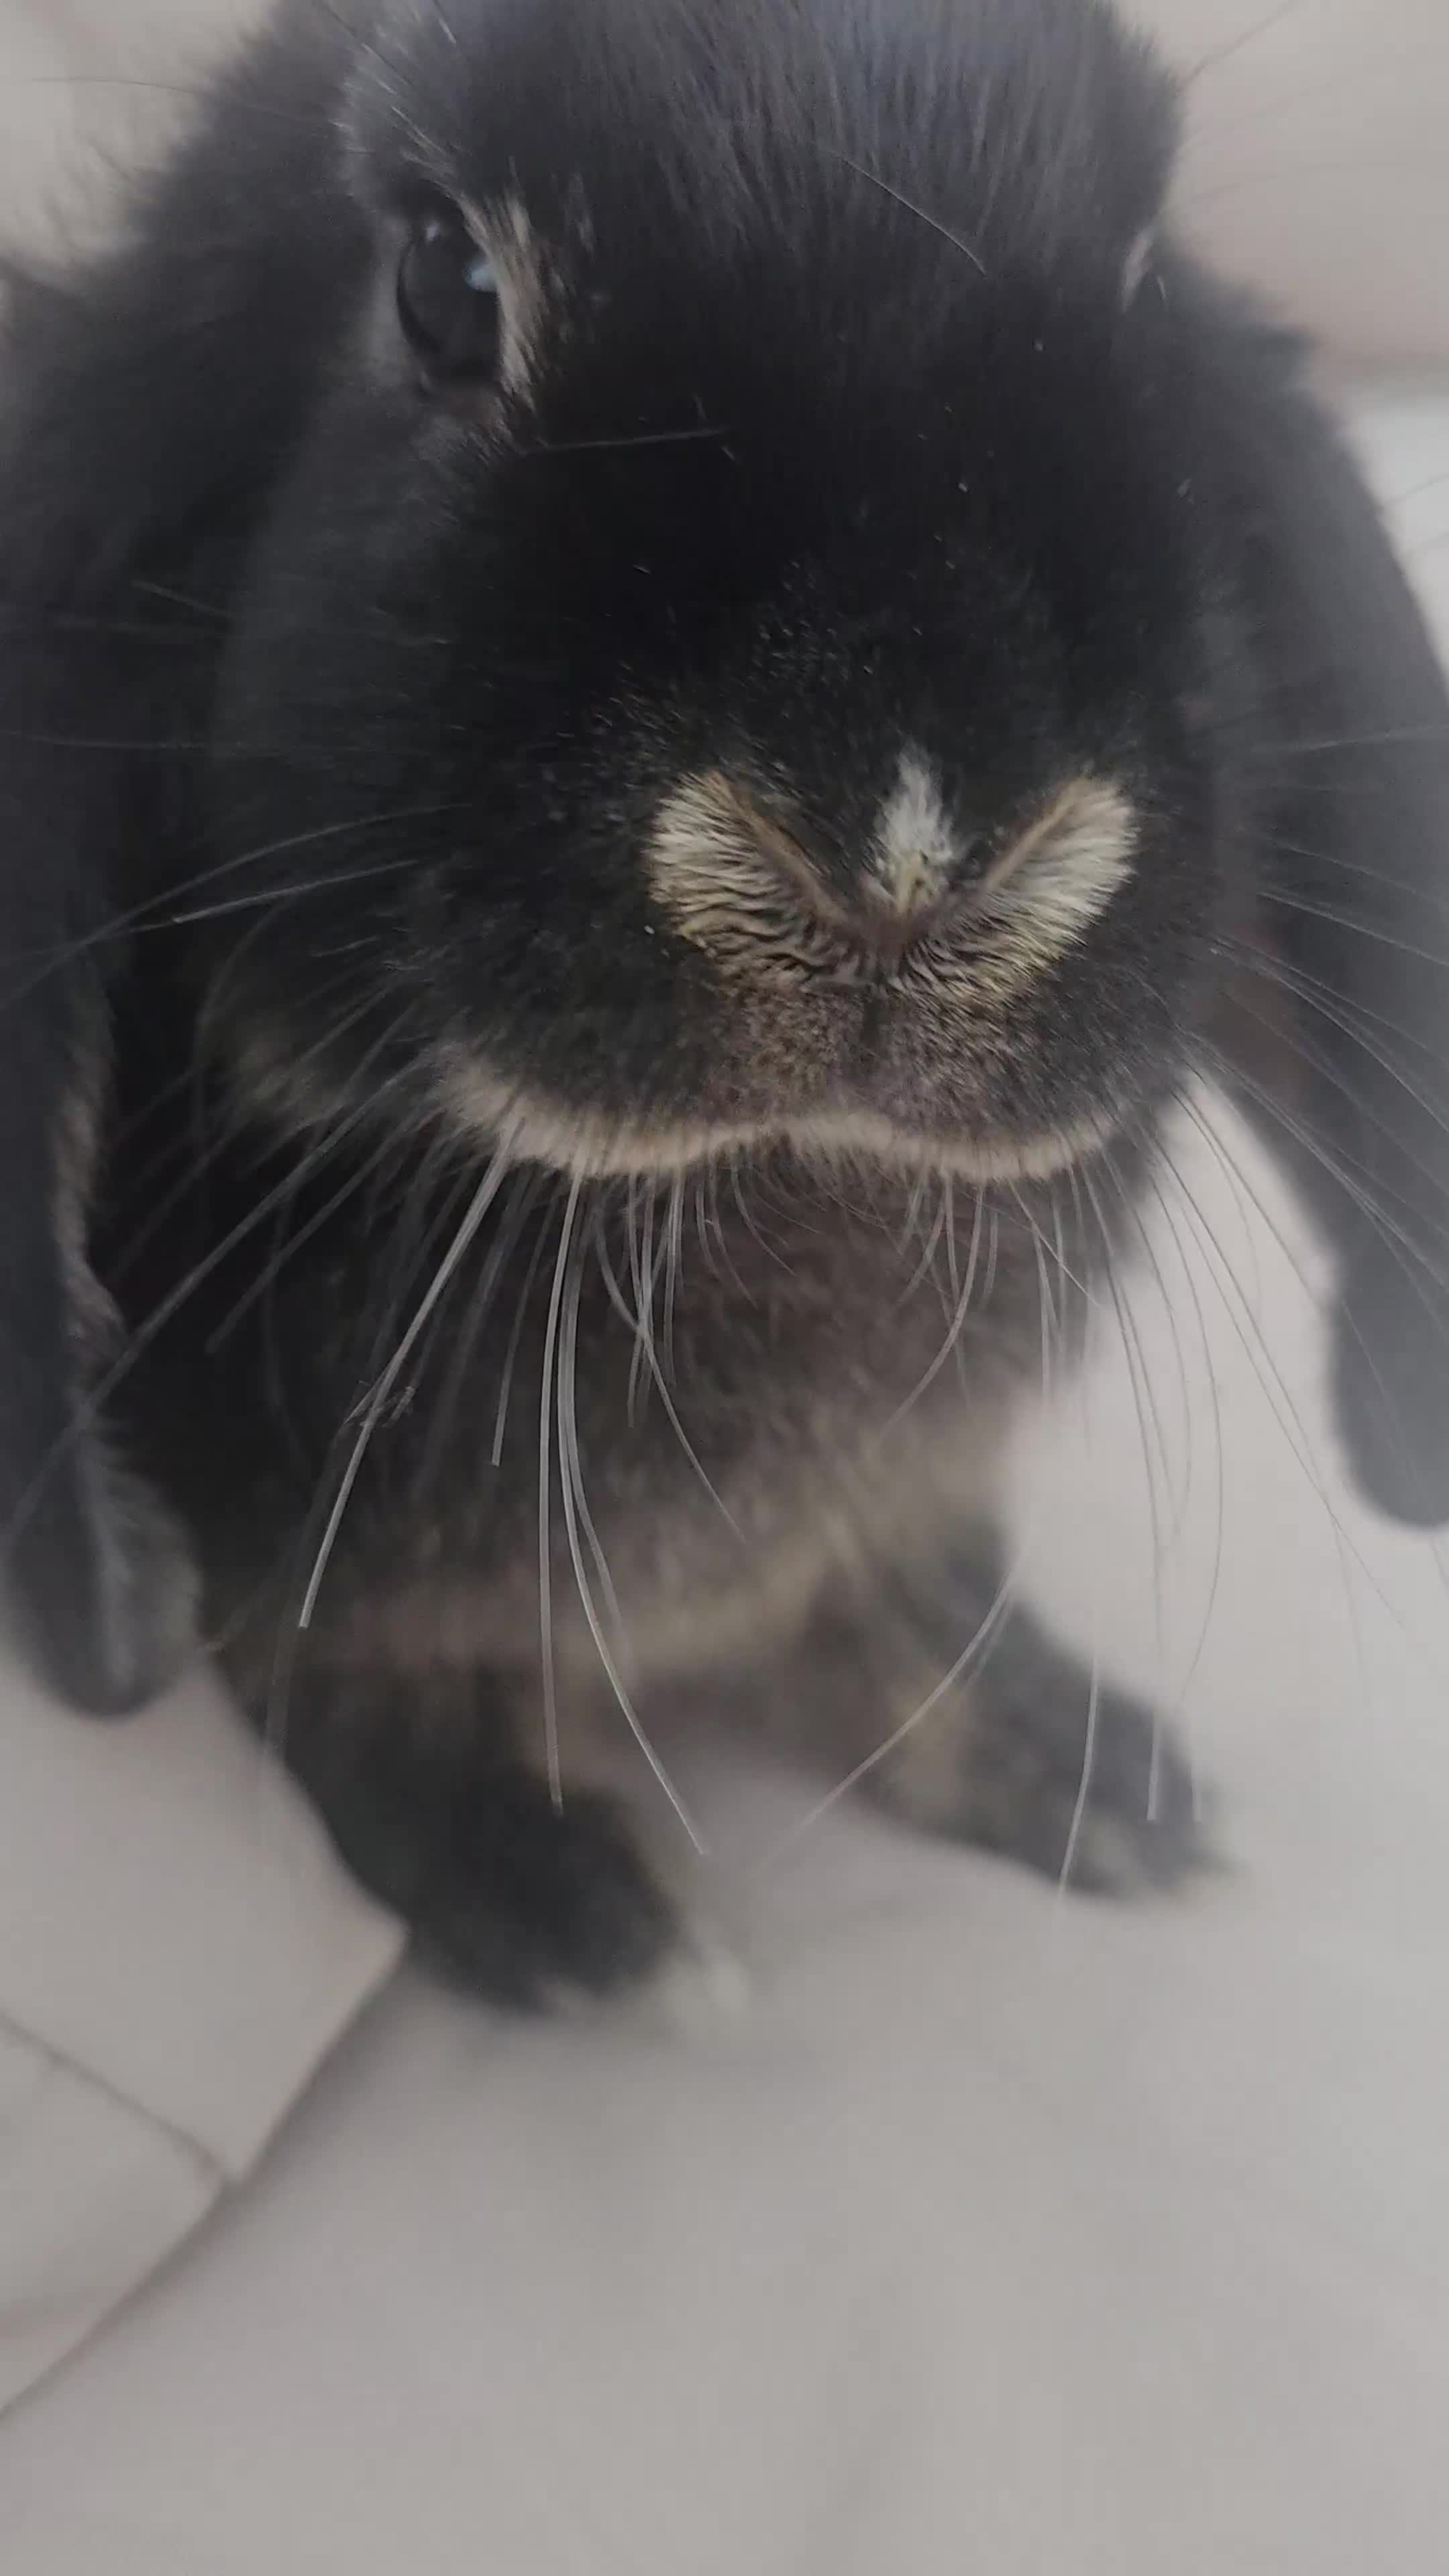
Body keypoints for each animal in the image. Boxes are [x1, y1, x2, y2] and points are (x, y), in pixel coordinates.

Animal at [2, 0, 1447, 2004]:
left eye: (1143, 285)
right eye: (442, 285)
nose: (908, 854)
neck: (777, 1192)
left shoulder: (896, 1512)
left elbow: (914, 1608)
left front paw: (1085, 1777)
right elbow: (339, 1676)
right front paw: (561, 1904)